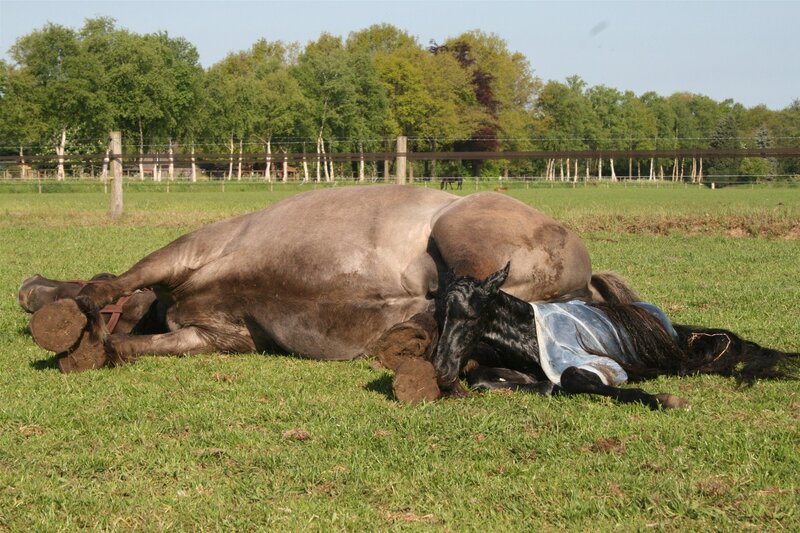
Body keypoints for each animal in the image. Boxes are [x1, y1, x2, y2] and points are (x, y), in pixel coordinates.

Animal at [21, 185, 596, 374]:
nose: (27, 285)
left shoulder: (189, 250)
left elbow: (119, 281)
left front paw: (69, 316)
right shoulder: (211, 336)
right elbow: (131, 346)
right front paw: (91, 346)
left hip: (462, 234)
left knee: (460, 300)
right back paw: (406, 344)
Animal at [430, 263, 799, 409]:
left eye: (471, 316)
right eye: (438, 317)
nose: (442, 371)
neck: (528, 333)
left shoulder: (599, 363)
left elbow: (573, 377)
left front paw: (664, 400)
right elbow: (482, 377)